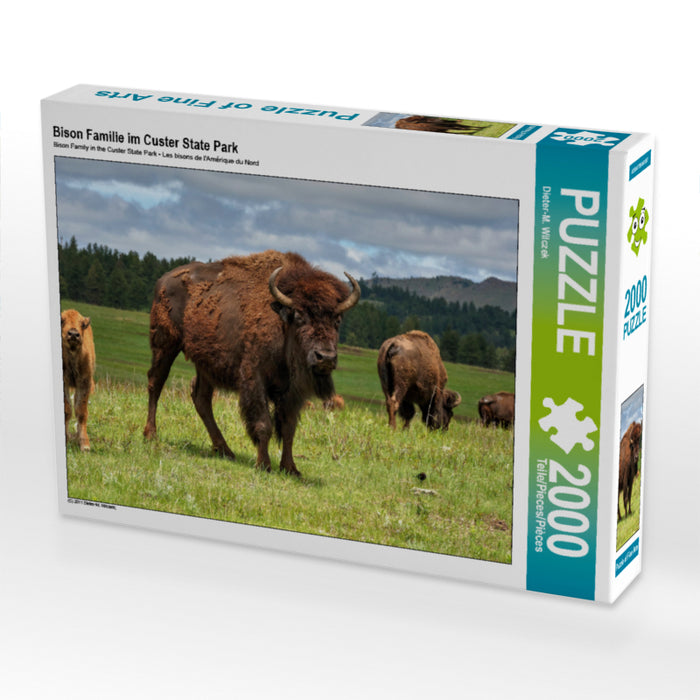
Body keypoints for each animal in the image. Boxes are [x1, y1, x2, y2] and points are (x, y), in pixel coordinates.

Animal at [143, 250, 360, 476]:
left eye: (337, 320)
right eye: (300, 316)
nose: (325, 357)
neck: (283, 323)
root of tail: (163, 279)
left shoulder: (293, 391)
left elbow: (289, 427)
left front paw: (291, 468)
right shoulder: (255, 378)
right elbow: (264, 423)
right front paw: (263, 464)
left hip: (205, 362)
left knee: (201, 398)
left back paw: (225, 450)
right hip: (166, 344)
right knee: (156, 383)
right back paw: (151, 435)